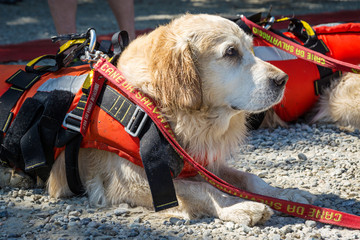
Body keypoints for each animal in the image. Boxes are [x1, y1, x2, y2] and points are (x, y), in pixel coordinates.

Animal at [5, 14, 316, 226]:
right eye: (231, 52)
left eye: (252, 49)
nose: (283, 80)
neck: (157, 104)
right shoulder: (127, 180)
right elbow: (201, 189)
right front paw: (238, 206)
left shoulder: (200, 164)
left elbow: (250, 178)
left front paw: (285, 194)